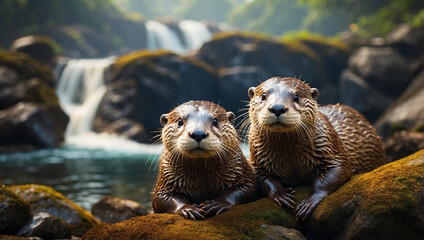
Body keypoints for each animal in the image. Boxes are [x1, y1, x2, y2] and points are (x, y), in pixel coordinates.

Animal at [247, 77, 386, 221]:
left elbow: (336, 173)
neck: (290, 159)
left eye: (296, 97)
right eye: (263, 96)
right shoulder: (257, 161)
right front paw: (281, 195)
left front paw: (308, 203)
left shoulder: (331, 148)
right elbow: (263, 179)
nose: (277, 108)